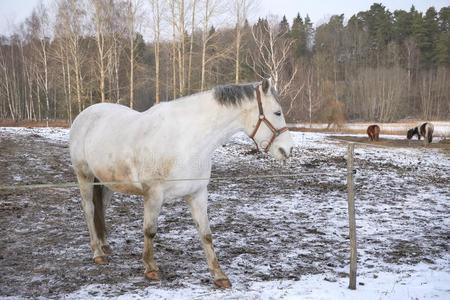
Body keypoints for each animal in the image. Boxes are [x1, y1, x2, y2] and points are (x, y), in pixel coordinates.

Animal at [69, 78, 296, 290]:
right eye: (277, 112)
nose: (287, 149)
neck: (186, 140)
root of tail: (84, 115)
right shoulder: (153, 194)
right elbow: (149, 230)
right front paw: (150, 268)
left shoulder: (198, 194)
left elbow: (206, 234)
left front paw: (219, 275)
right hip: (85, 177)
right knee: (89, 210)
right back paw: (98, 252)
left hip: (106, 183)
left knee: (101, 209)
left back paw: (104, 245)